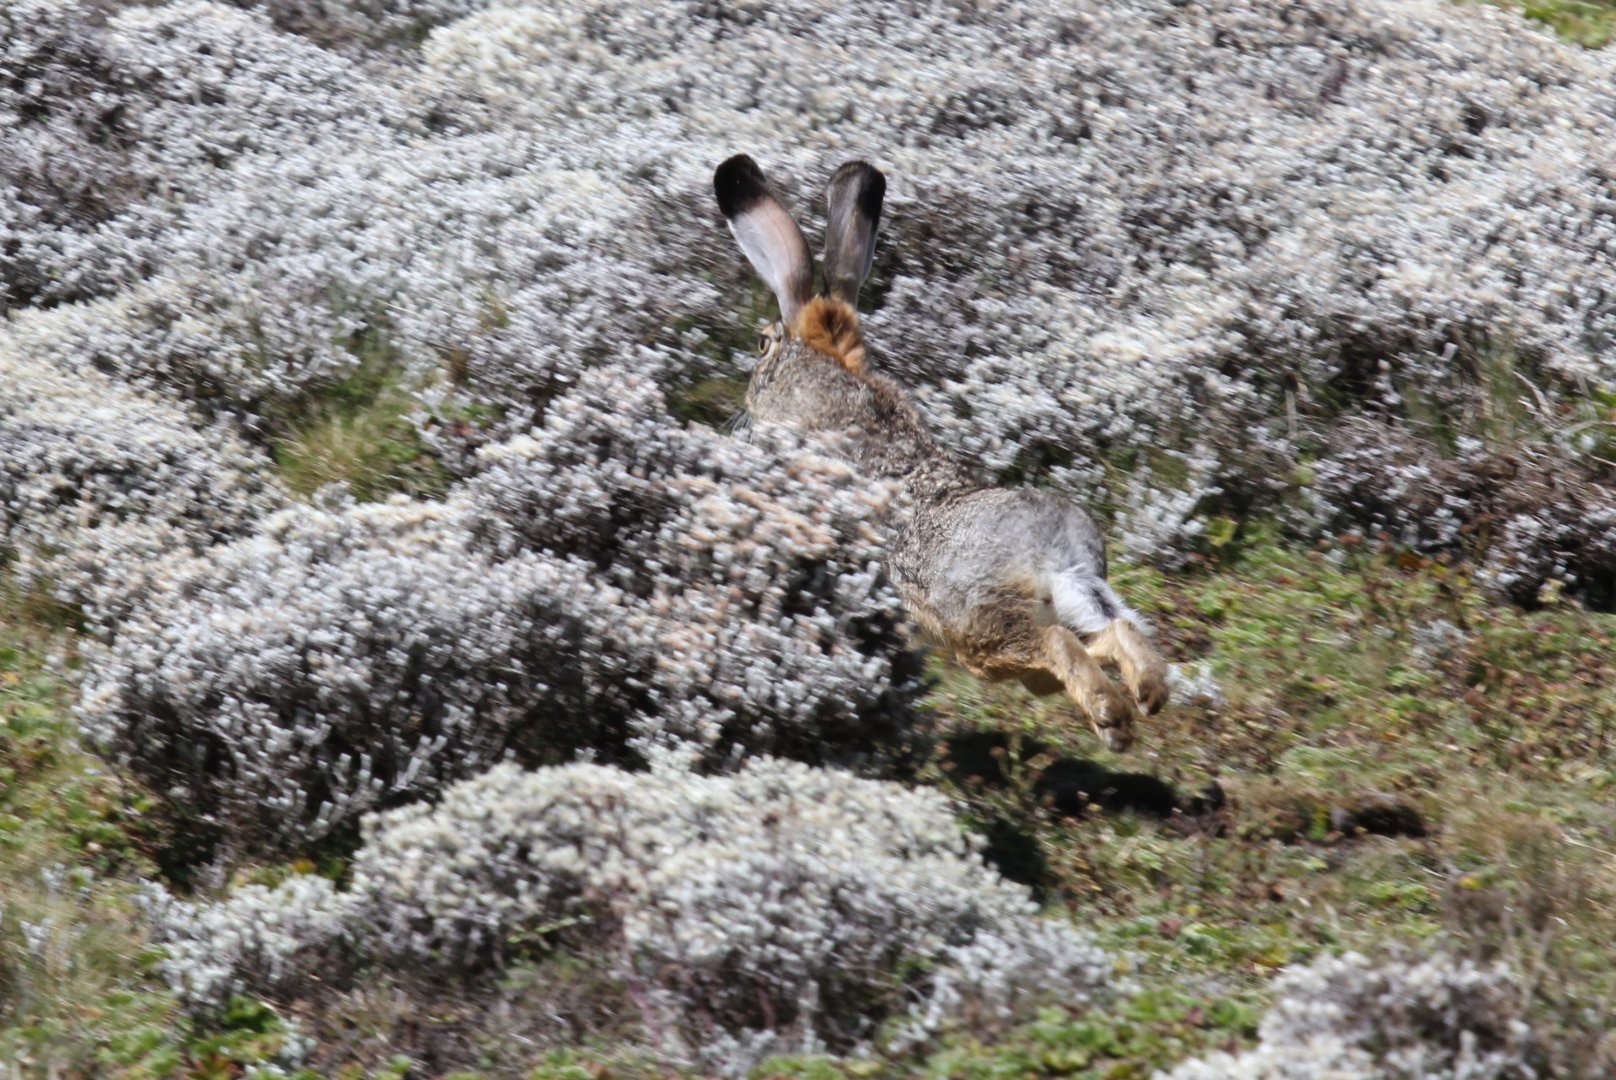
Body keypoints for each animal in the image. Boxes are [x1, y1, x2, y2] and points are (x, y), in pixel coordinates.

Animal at [713, 154, 1168, 751]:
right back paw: (1147, 694)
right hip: (1065, 612)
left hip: (976, 628)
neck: (828, 364)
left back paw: (1112, 716)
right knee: (1113, 632)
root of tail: (1055, 551)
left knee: (1057, 646)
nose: (743, 400)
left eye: (763, 344)